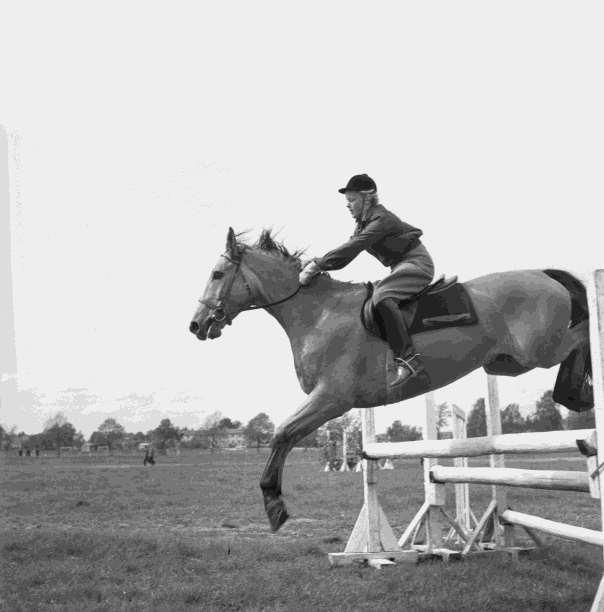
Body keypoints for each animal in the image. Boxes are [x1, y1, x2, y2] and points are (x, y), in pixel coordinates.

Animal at [188, 228, 588, 532]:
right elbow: (285, 435)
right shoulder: (331, 401)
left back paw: (579, 392)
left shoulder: (331, 399)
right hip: (505, 363)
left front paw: (274, 504)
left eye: (217, 275)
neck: (317, 314)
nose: (196, 325)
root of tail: (542, 273)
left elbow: (282, 433)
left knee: (581, 336)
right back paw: (574, 394)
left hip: (539, 351)